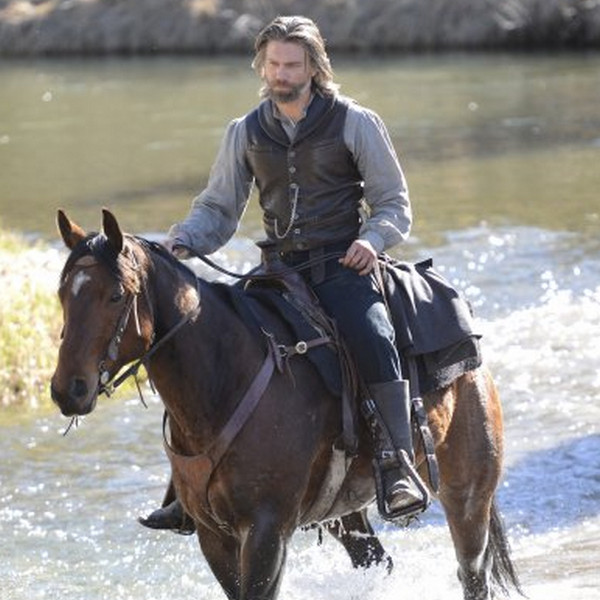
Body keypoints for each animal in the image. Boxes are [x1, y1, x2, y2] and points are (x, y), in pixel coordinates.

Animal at [50, 209, 521, 600]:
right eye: (62, 294)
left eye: (115, 295)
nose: (67, 389)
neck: (224, 380)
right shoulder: (213, 535)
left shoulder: (267, 531)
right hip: (344, 514)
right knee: (378, 560)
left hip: (468, 494)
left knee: (472, 574)